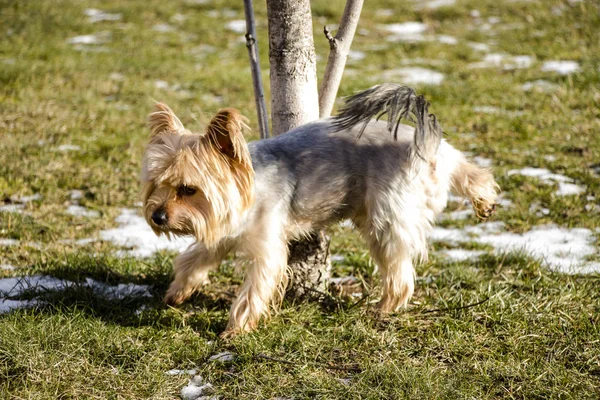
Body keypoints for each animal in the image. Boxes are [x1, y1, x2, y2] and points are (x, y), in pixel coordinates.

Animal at [142, 84, 502, 338]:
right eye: (157, 184)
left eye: (188, 189)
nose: (157, 217)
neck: (248, 188)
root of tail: (423, 146)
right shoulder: (219, 228)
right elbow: (193, 259)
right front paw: (177, 292)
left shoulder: (264, 245)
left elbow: (255, 287)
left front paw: (236, 329)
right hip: (434, 170)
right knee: (471, 170)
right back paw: (484, 199)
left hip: (386, 217)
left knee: (399, 274)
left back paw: (383, 308)